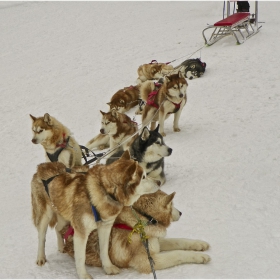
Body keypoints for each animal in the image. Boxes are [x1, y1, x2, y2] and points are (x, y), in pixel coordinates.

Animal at [31, 151, 159, 280]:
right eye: (143, 177)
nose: (159, 182)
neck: (104, 192)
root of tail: (42, 166)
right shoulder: (81, 233)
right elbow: (81, 257)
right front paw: (83, 275)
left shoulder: (105, 228)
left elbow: (104, 250)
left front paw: (108, 268)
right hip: (45, 215)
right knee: (42, 237)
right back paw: (41, 258)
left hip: (64, 215)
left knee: (58, 228)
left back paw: (61, 247)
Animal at [60, 189, 210, 272]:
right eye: (172, 205)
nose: (181, 213)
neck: (141, 218)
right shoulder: (148, 261)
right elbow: (177, 254)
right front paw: (200, 257)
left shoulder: (154, 242)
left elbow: (179, 241)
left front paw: (199, 244)